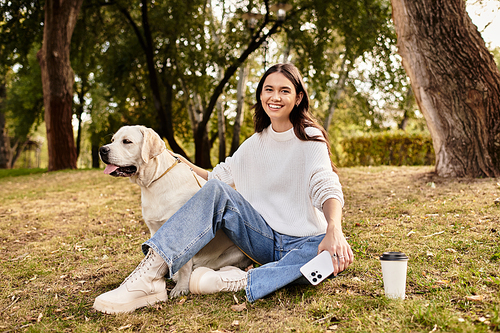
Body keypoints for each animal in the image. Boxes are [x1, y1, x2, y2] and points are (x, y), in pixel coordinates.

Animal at [99, 124, 252, 296]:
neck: (154, 182)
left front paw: (181, 288)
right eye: (113, 140)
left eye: (126, 141)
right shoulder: (154, 229)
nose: (102, 149)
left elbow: (184, 265)